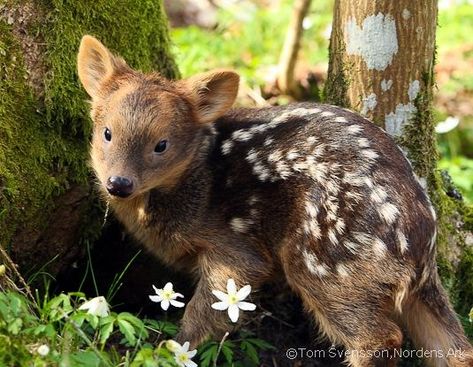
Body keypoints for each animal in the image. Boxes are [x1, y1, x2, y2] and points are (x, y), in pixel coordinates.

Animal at [78, 35, 472, 367]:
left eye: (161, 144)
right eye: (107, 133)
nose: (119, 183)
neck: (197, 183)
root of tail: (420, 242)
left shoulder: (235, 249)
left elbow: (208, 309)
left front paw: (170, 349)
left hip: (325, 261)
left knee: (380, 336)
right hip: (410, 284)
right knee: (455, 347)